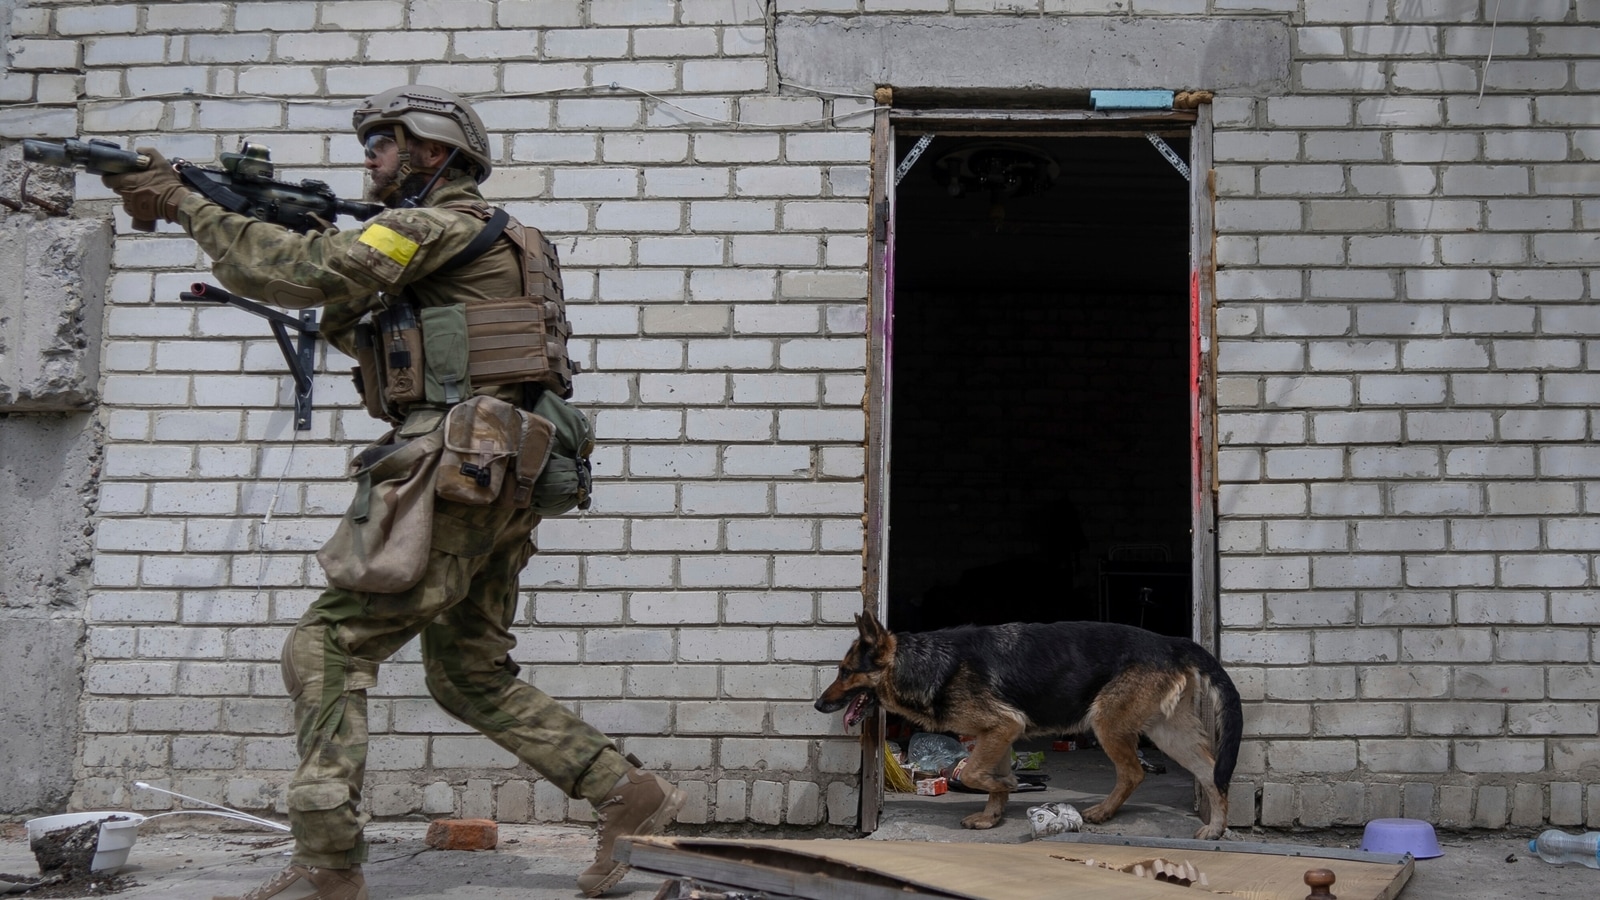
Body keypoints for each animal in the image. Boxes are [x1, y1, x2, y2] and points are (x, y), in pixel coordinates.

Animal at [819, 608, 1241, 832]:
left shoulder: (1004, 727)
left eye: (845, 672)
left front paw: (1004, 785)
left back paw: (1104, 812)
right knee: (1211, 772)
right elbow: (988, 780)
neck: (924, 662)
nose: (818, 705)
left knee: (1134, 772)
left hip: (1107, 722)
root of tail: (1171, 642)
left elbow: (976, 774)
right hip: (1167, 733)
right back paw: (1216, 828)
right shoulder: (999, 733)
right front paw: (992, 816)